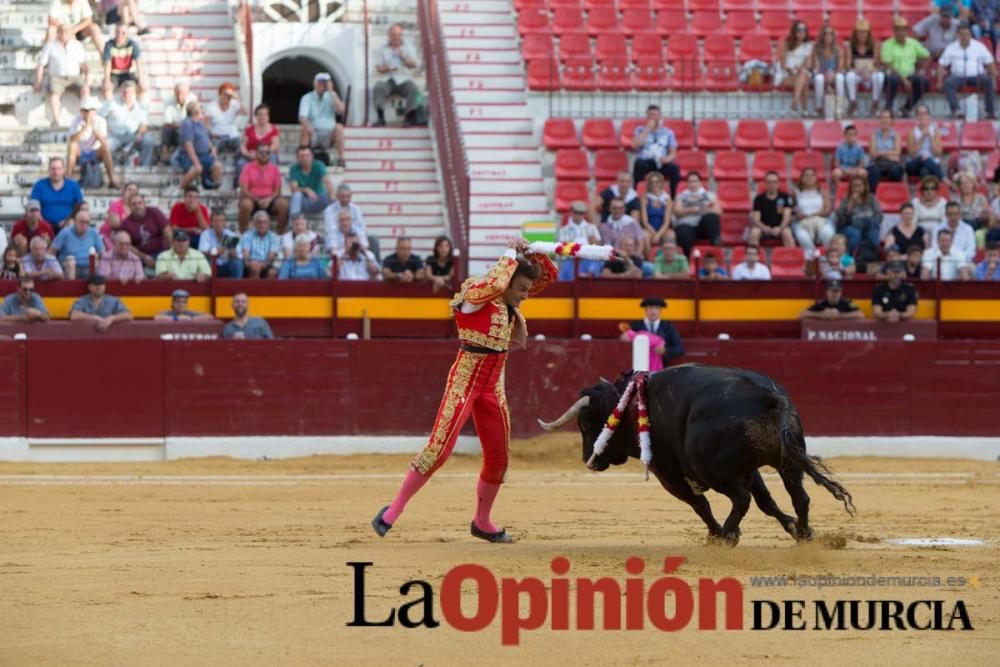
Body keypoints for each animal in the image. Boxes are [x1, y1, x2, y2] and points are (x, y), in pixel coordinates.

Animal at [536, 366, 856, 548]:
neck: (628, 405)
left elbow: (699, 505)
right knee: (799, 497)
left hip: (712, 471)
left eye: (586, 423)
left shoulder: (669, 473)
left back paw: (726, 536)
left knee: (741, 499)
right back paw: (804, 533)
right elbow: (766, 501)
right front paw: (789, 526)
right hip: (786, 463)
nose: (588, 459)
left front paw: (717, 534)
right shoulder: (748, 469)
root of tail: (770, 398)